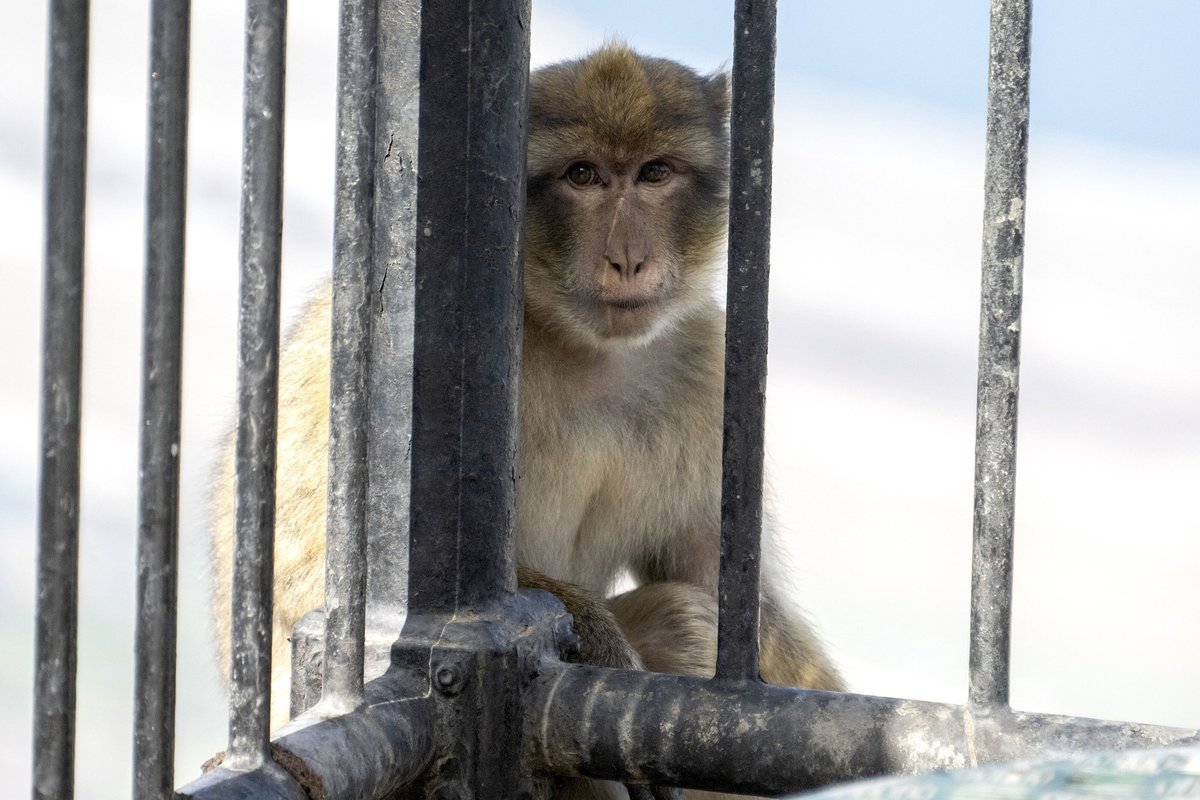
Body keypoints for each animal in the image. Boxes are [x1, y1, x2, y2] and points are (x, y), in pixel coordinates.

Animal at [208, 43, 844, 800]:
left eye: (655, 173)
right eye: (583, 175)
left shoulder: (706, 367)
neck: (580, 343)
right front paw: (600, 642)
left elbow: (729, 600)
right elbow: (312, 585)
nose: (628, 258)